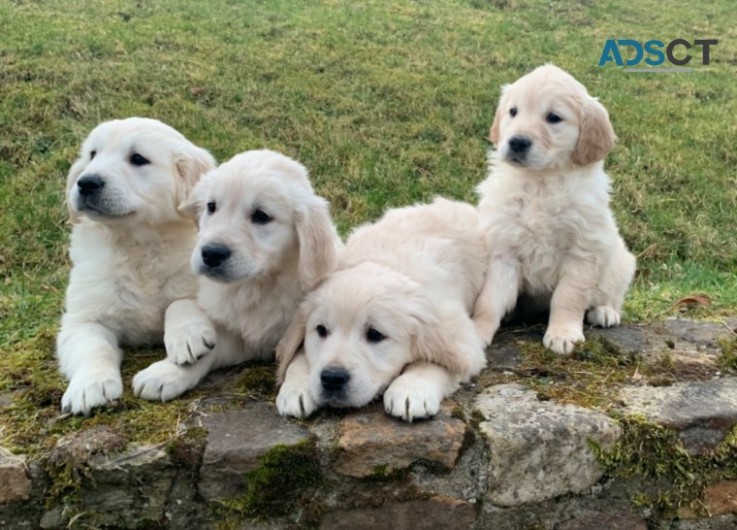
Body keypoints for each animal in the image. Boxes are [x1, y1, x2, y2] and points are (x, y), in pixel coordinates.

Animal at [56, 117, 216, 414]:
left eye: (138, 159)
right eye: (92, 155)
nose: (86, 182)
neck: (137, 245)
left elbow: (181, 302)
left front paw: (188, 335)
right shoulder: (82, 318)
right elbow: (93, 346)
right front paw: (90, 385)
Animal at [131, 146, 340, 398]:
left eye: (261, 216)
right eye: (211, 206)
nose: (211, 253)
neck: (258, 285)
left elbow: (301, 352)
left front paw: (299, 389)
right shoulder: (241, 340)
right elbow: (210, 352)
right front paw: (167, 372)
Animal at [274, 198, 486, 420]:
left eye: (375, 334)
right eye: (321, 330)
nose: (332, 377)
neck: (384, 264)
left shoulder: (463, 339)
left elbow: (438, 361)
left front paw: (411, 390)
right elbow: (297, 355)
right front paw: (296, 388)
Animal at [472, 65, 640, 354]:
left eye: (553, 117)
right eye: (513, 111)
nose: (517, 142)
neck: (541, 182)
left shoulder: (582, 250)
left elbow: (568, 297)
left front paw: (563, 334)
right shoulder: (503, 249)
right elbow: (489, 300)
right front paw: (475, 331)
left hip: (621, 263)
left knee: (610, 295)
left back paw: (605, 311)